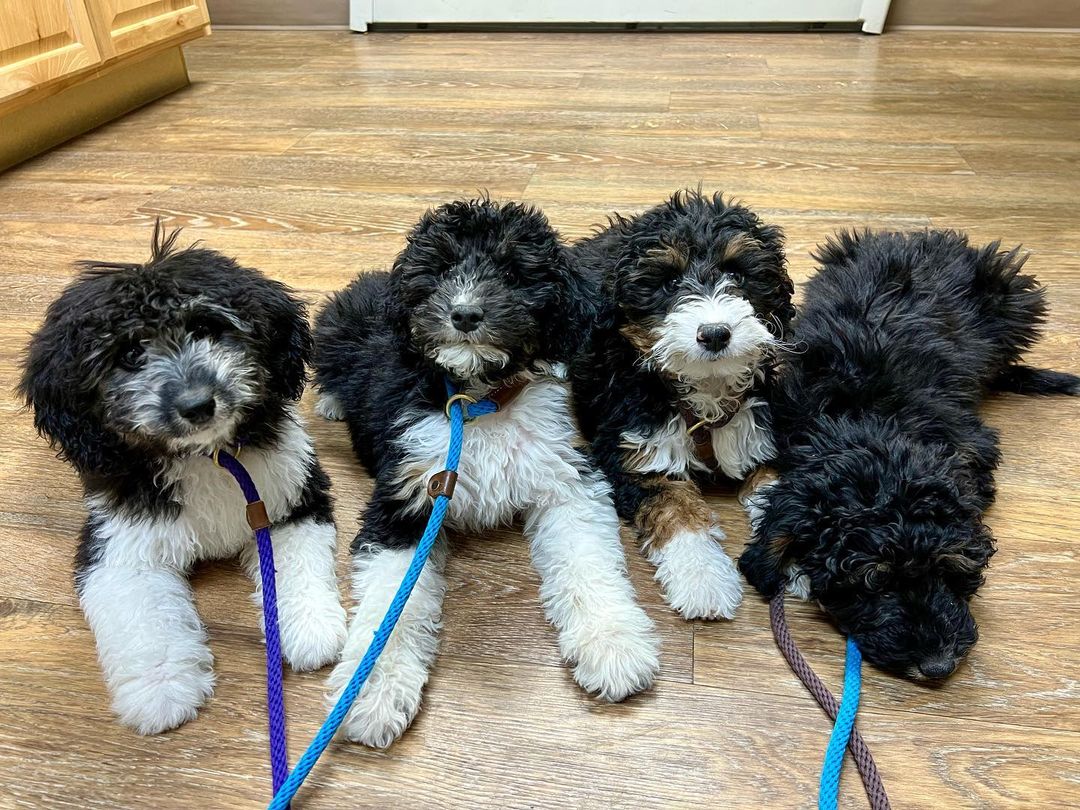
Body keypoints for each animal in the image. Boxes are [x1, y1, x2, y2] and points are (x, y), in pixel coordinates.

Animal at [18, 224, 347, 734]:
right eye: (130, 352)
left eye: (207, 328)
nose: (197, 404)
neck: (206, 457)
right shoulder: (118, 540)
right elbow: (139, 609)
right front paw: (161, 687)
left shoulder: (289, 499)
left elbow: (296, 566)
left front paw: (311, 628)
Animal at [313, 197, 660, 748]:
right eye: (442, 269)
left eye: (513, 272)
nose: (465, 313)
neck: (478, 403)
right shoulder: (406, 499)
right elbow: (390, 605)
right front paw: (373, 693)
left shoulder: (567, 481)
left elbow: (588, 562)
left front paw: (613, 644)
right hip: (331, 333)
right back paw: (330, 403)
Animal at [570, 190, 796, 620]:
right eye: (670, 281)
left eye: (737, 275)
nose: (715, 333)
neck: (705, 391)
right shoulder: (638, 450)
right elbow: (676, 508)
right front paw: (703, 579)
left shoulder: (758, 428)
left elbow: (779, 487)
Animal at [738, 230, 1079, 680]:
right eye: (875, 581)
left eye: (948, 568)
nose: (938, 666)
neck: (868, 422)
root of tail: (919, 235)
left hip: (1013, 297)